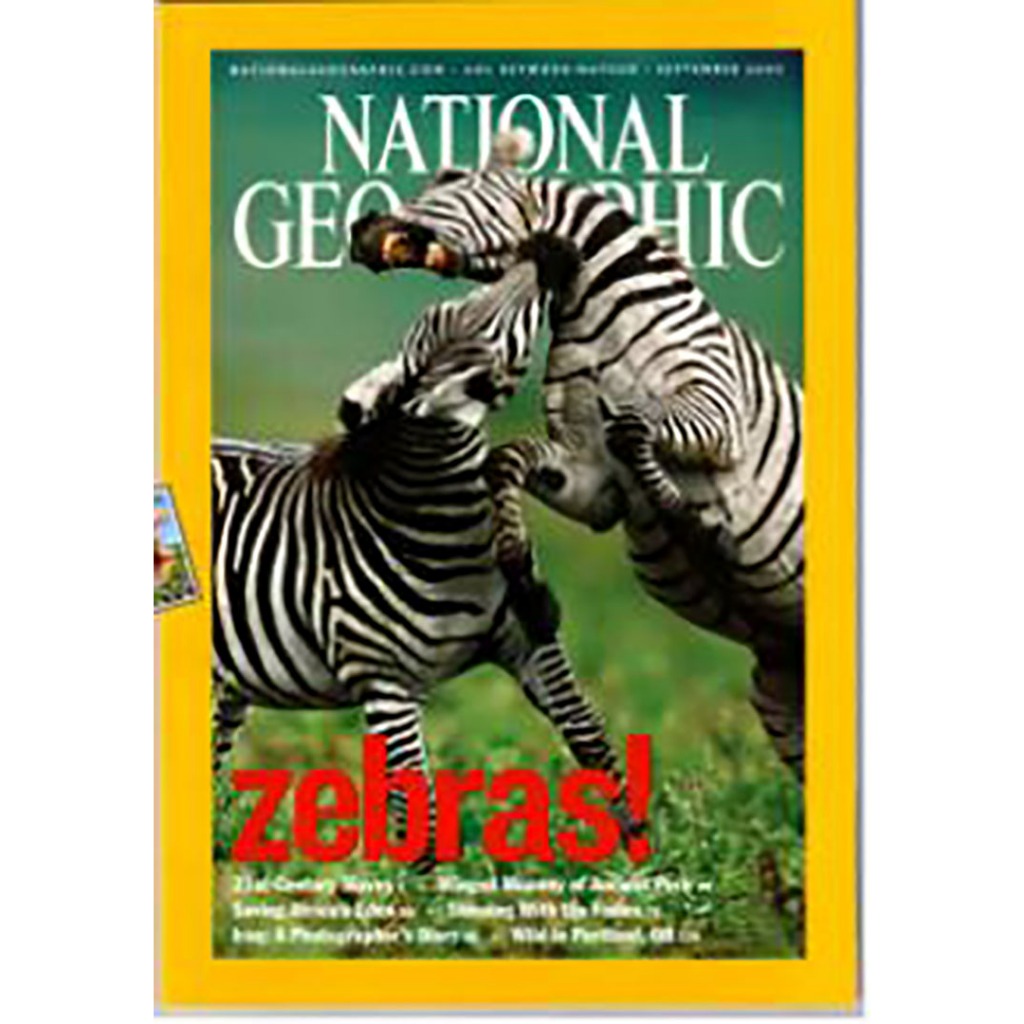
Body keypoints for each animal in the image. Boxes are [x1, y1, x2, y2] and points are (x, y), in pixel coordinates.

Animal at [212, 258, 635, 866]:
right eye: (479, 333)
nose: (546, 253)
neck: (446, 535)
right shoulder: (384, 681)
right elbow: (418, 806)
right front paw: (423, 891)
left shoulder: (523, 640)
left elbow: (588, 731)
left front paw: (640, 845)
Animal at [349, 130, 805, 781]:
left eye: (450, 178)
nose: (360, 231)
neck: (599, 314)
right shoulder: (594, 480)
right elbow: (507, 460)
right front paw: (518, 566)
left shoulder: (717, 410)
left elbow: (634, 429)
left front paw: (689, 517)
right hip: (779, 690)